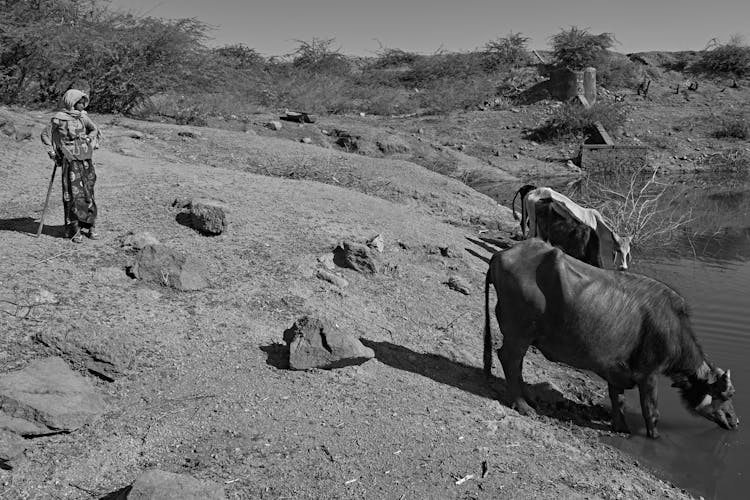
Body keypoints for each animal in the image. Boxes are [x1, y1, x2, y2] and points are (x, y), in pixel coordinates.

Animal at [488, 238, 740, 438]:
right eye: (724, 394)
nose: (735, 420)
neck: (672, 329)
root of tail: (501, 255)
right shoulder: (648, 375)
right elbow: (651, 412)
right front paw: (655, 437)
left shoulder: (615, 371)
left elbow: (617, 401)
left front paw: (621, 427)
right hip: (519, 334)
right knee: (509, 359)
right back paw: (522, 405)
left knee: (516, 364)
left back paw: (528, 397)